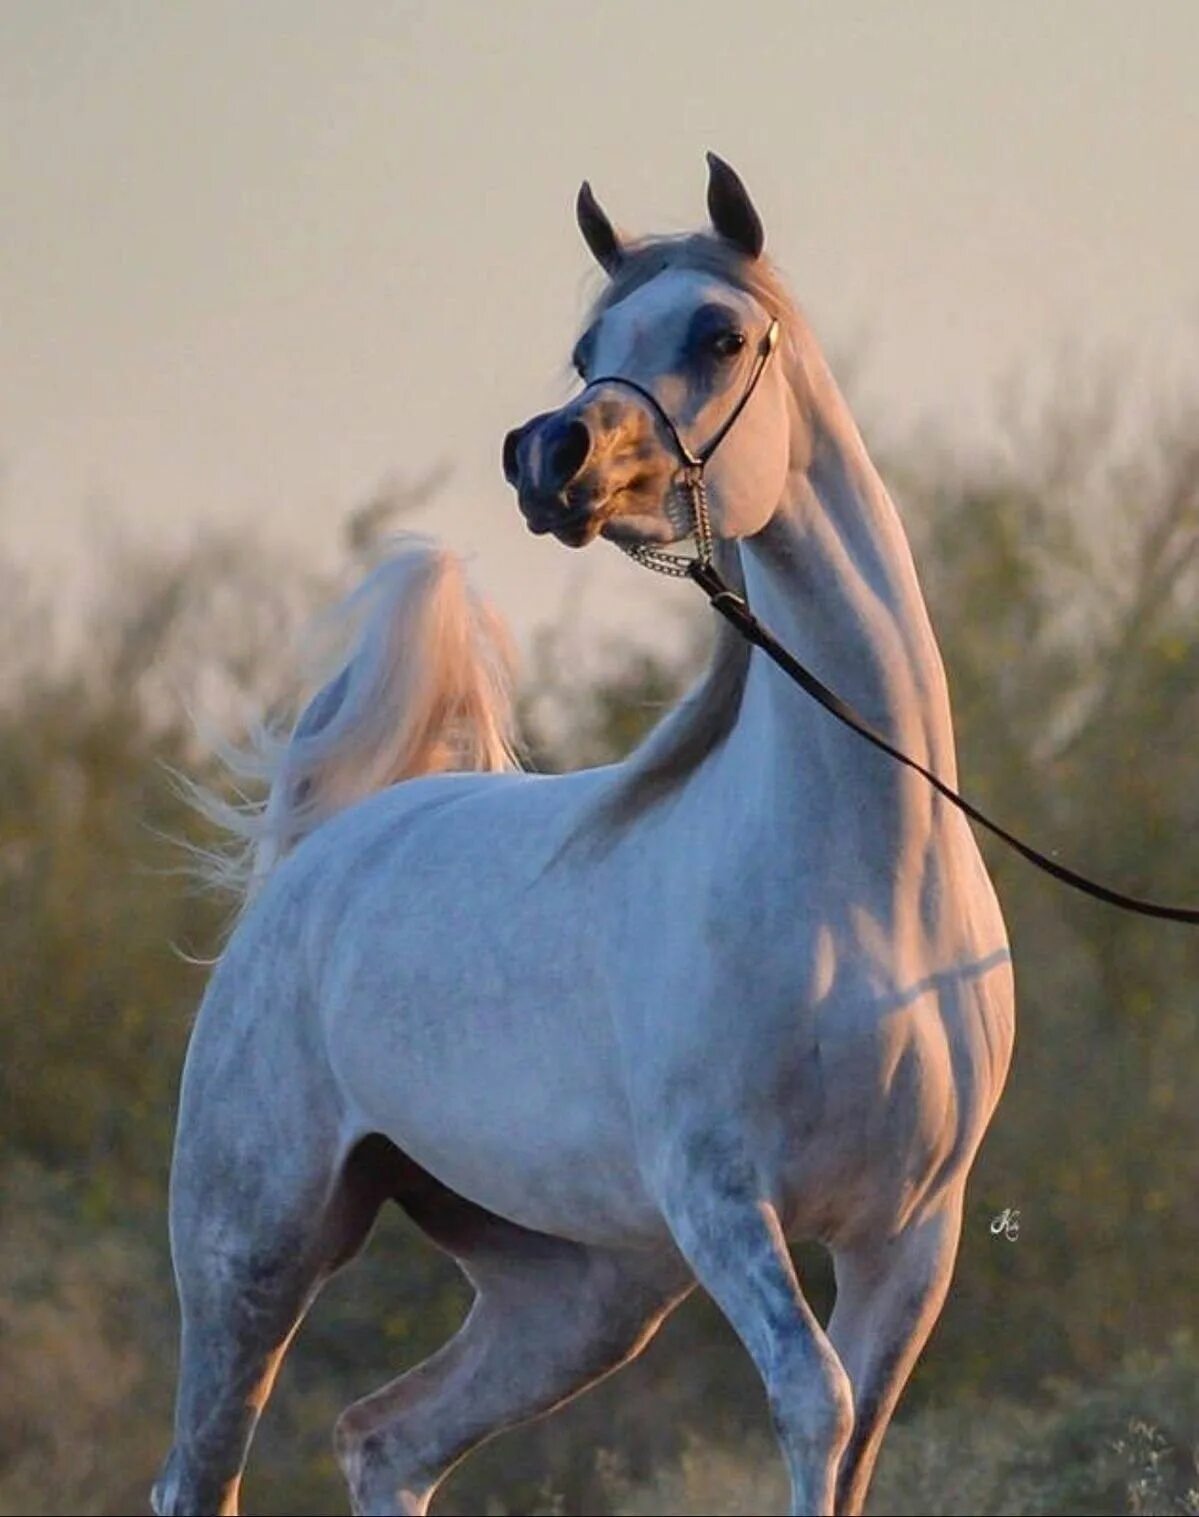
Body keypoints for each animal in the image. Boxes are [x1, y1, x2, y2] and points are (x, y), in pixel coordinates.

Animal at [150, 157, 1013, 1517]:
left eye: (717, 336)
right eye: (585, 350)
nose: (545, 454)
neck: (866, 887)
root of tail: (322, 855)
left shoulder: (908, 1236)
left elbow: (856, 1436)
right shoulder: (724, 1199)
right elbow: (811, 1402)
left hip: (580, 1287)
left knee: (386, 1436)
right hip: (254, 1249)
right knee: (204, 1473)